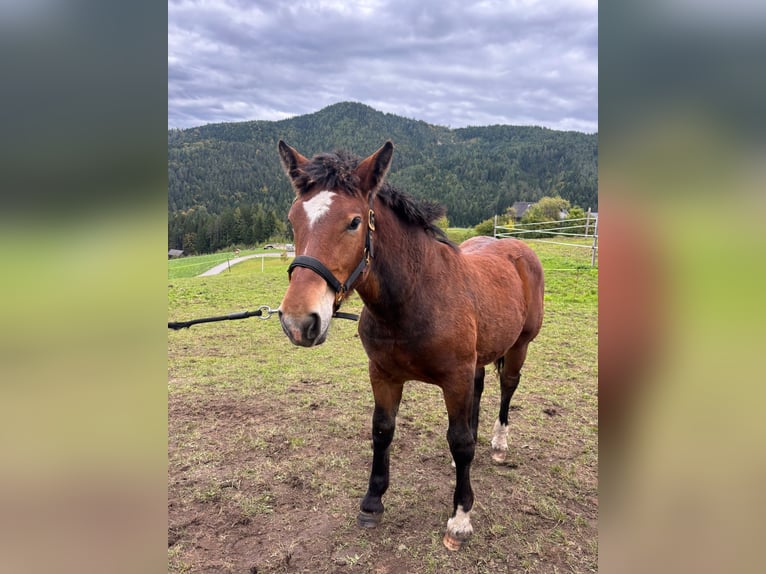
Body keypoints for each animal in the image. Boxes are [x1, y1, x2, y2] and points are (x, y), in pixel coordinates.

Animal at [276, 140, 544, 550]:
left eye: (354, 222)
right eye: (293, 220)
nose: (298, 322)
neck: (414, 299)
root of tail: (517, 247)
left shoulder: (454, 379)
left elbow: (459, 441)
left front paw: (460, 519)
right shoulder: (383, 375)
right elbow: (383, 430)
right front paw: (372, 503)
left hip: (519, 347)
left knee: (507, 387)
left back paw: (498, 444)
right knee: (481, 390)